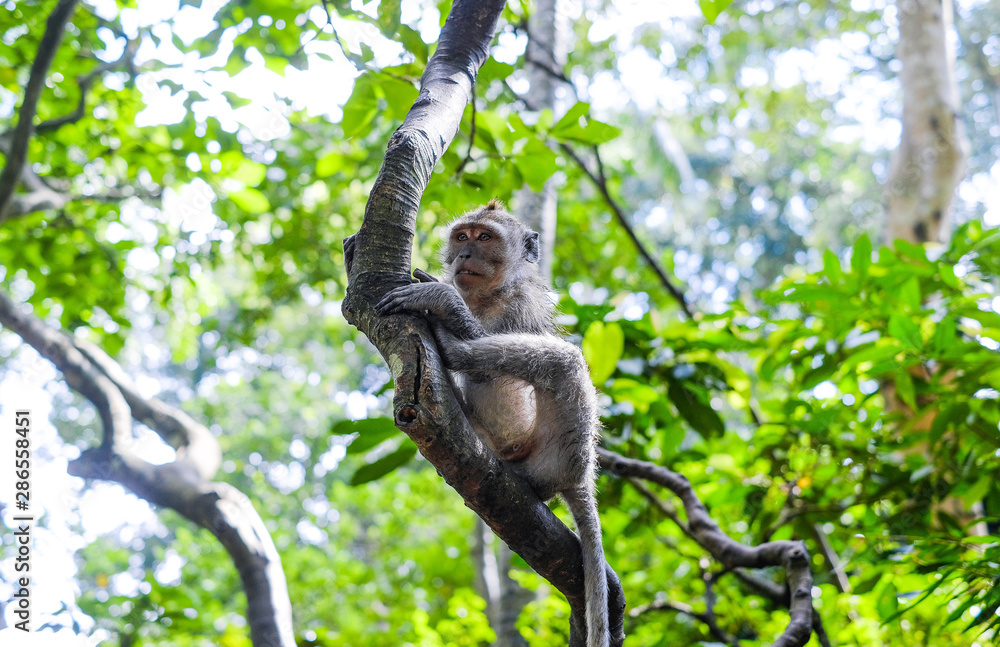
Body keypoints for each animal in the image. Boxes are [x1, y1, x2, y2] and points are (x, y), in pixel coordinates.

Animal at [375, 199, 610, 647]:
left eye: (485, 238)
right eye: (462, 237)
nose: (464, 255)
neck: (488, 295)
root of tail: (580, 477)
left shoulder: (520, 304)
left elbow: (492, 355)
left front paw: (442, 299)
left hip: (546, 451)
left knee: (564, 361)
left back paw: (453, 349)